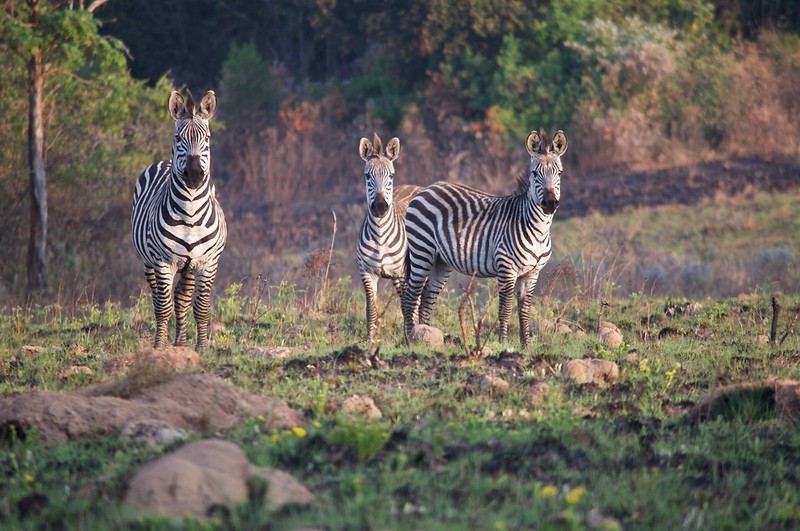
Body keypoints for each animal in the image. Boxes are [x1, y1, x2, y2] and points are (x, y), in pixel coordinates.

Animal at [130, 89, 225, 352]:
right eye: (177, 137)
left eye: (207, 138)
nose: (194, 174)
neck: (190, 214)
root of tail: (165, 161)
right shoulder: (163, 262)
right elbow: (164, 307)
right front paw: (159, 347)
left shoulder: (207, 262)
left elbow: (201, 308)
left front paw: (202, 348)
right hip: (149, 261)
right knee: (158, 298)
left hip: (189, 265)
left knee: (182, 298)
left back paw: (181, 342)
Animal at [354, 133, 418, 340]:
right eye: (367, 175)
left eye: (391, 175)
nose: (381, 207)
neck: (380, 237)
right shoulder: (367, 273)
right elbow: (371, 309)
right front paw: (370, 339)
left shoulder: (403, 273)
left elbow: (406, 306)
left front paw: (408, 337)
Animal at [400, 130, 568, 348]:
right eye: (534, 173)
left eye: (560, 173)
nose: (549, 203)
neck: (538, 230)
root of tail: (426, 189)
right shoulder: (507, 269)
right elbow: (505, 308)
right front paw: (503, 343)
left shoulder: (532, 274)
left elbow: (525, 310)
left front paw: (526, 346)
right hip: (422, 251)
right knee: (412, 295)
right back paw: (411, 337)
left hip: (440, 261)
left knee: (427, 298)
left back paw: (426, 335)